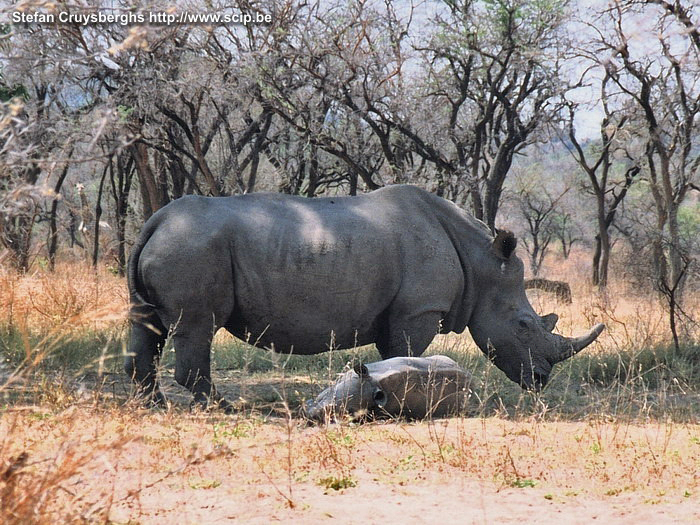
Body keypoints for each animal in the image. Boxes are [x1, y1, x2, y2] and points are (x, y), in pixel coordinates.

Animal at [127, 184, 608, 410]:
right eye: (523, 325)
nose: (541, 379)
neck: (482, 261)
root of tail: (155, 222)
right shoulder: (418, 310)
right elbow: (405, 354)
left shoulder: (397, 311)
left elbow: (389, 355)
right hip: (192, 248)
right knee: (196, 326)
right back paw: (224, 409)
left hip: (175, 244)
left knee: (146, 323)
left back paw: (152, 405)